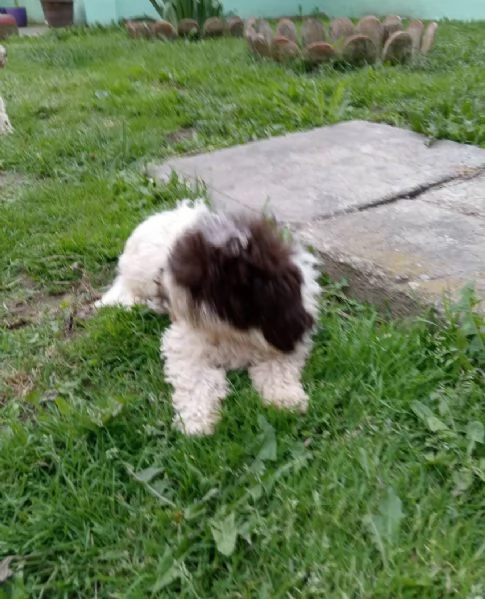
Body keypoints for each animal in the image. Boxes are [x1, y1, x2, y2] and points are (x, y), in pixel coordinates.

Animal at [96, 202, 320, 436]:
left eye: (203, 277)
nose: (163, 285)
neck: (233, 327)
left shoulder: (284, 334)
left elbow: (279, 368)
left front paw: (287, 399)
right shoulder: (186, 343)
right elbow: (196, 381)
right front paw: (197, 423)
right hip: (138, 274)